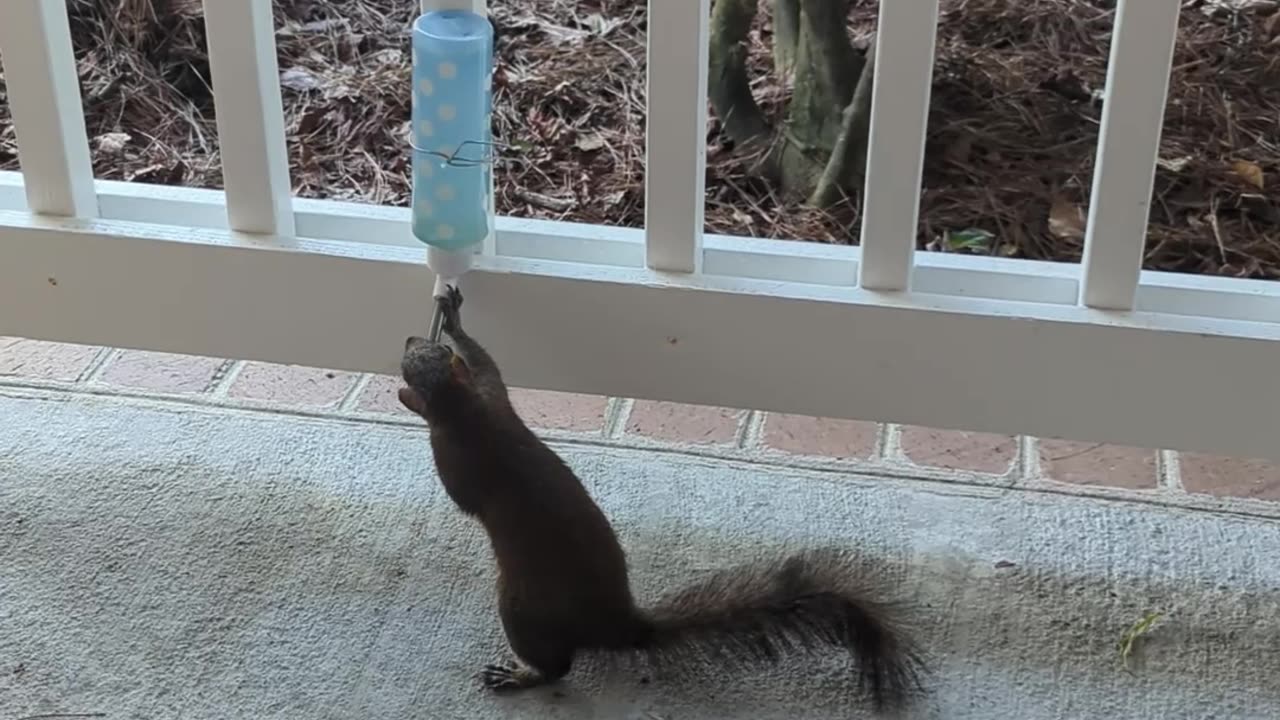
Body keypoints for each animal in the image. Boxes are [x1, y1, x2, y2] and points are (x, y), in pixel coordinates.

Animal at [394, 284, 926, 707]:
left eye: (408, 364)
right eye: (430, 349)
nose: (408, 338)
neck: (467, 413)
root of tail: (617, 624)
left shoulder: (459, 455)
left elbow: (462, 497)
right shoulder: (492, 394)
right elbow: (487, 362)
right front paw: (457, 316)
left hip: (522, 607)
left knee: (557, 665)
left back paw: (518, 675)